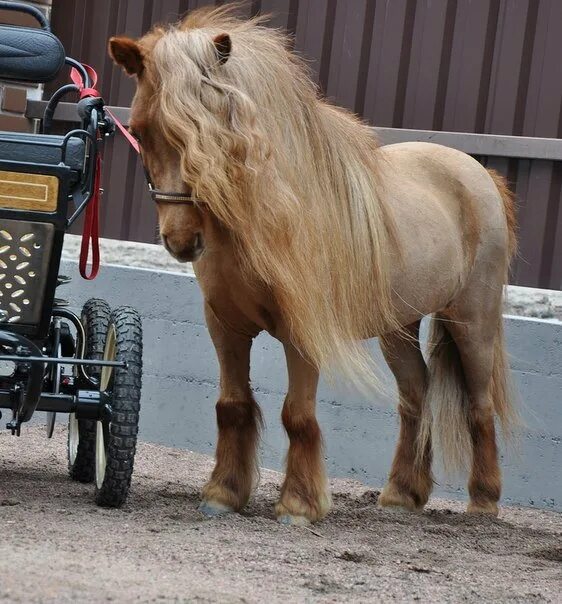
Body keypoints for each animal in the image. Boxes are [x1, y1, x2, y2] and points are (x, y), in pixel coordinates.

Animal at [108, 3, 516, 524]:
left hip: (472, 320)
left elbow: (297, 414)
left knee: (479, 405)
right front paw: (223, 493)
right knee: (415, 395)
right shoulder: (225, 326)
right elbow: (232, 404)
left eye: (220, 129)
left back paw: (483, 501)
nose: (181, 239)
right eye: (140, 129)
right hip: (398, 327)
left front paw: (299, 504)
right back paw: (402, 494)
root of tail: (478, 173)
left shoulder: (301, 333)